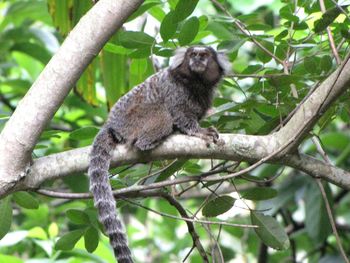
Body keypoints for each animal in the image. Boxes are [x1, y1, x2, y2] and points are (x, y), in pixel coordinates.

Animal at [88, 46, 230, 262]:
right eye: (193, 55)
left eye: (204, 55)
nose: (197, 59)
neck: (195, 83)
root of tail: (112, 126)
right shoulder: (176, 92)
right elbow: (180, 114)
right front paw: (199, 132)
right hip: (137, 119)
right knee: (162, 116)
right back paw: (151, 141)